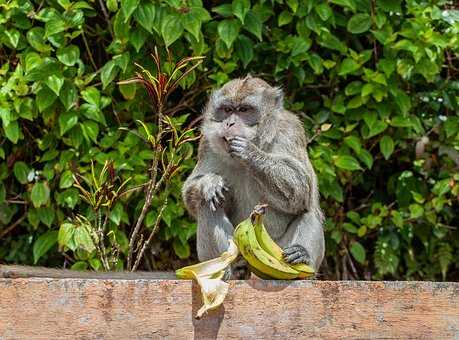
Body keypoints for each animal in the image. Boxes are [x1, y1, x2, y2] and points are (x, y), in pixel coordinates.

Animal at [181, 75, 326, 278]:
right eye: (227, 110)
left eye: (244, 110)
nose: (229, 124)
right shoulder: (207, 142)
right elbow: (191, 193)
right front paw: (209, 183)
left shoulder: (289, 131)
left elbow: (301, 187)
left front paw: (249, 152)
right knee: (207, 204)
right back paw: (224, 271)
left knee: (308, 212)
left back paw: (302, 259)